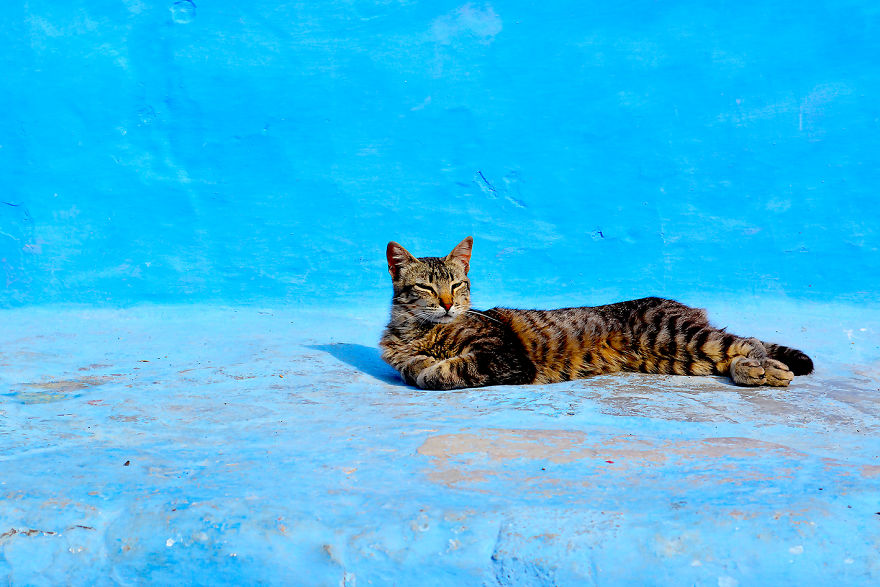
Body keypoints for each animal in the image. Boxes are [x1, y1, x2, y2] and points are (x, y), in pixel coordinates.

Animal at [382, 237, 816, 392]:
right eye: (426, 287)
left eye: (457, 285)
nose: (447, 303)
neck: (421, 331)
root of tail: (684, 307)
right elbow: (410, 366)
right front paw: (419, 361)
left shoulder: (503, 356)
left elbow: (440, 372)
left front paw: (430, 368)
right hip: (678, 355)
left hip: (676, 336)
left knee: (749, 342)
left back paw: (762, 371)